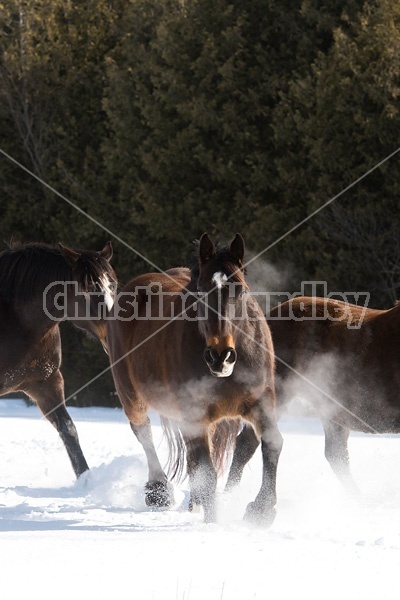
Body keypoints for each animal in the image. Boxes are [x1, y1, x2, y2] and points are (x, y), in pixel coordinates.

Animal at [106, 234, 282, 524]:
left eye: (241, 290)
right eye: (201, 291)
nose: (221, 356)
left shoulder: (260, 403)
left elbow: (272, 444)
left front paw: (261, 510)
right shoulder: (195, 414)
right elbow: (208, 472)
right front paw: (213, 523)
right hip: (131, 395)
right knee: (144, 432)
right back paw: (159, 491)